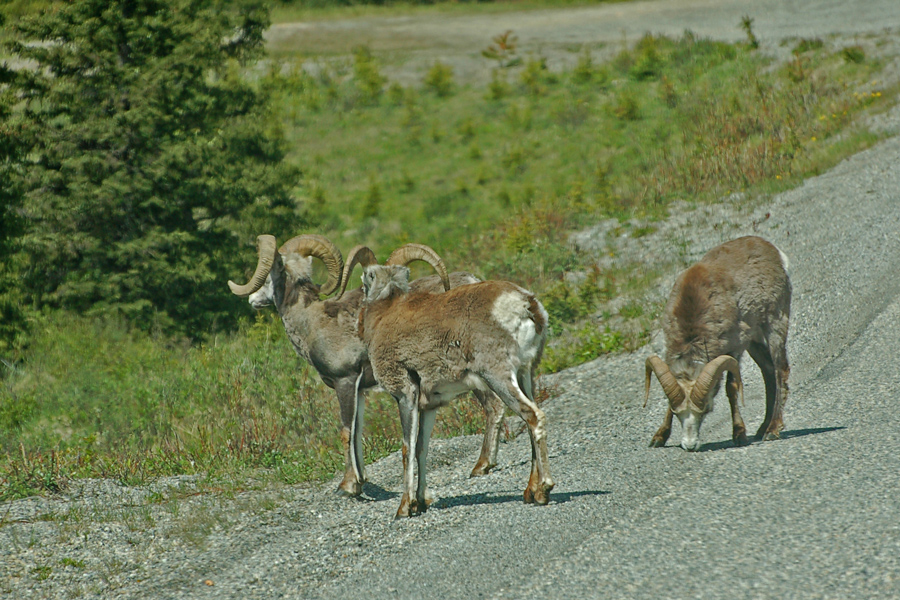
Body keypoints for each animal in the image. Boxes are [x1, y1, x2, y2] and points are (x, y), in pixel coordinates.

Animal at [225, 234, 506, 496]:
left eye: (267, 275)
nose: (252, 299)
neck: (311, 321)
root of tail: (472, 283)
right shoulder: (359, 390)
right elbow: (358, 432)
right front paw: (360, 480)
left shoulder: (346, 382)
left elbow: (346, 432)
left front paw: (349, 486)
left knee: (494, 405)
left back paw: (481, 466)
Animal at [340, 243, 556, 516]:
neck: (383, 316)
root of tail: (526, 304)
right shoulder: (429, 405)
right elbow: (421, 449)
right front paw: (421, 502)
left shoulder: (405, 395)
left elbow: (407, 448)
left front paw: (405, 508)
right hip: (525, 374)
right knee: (529, 424)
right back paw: (530, 492)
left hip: (499, 377)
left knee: (533, 417)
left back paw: (543, 490)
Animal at [648, 234, 788, 450]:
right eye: (678, 413)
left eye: (706, 409)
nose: (690, 445)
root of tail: (774, 251)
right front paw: (658, 438)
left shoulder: (735, 349)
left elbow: (731, 387)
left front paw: (739, 434)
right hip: (754, 340)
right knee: (768, 370)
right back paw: (762, 428)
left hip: (774, 323)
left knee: (780, 369)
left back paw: (772, 430)